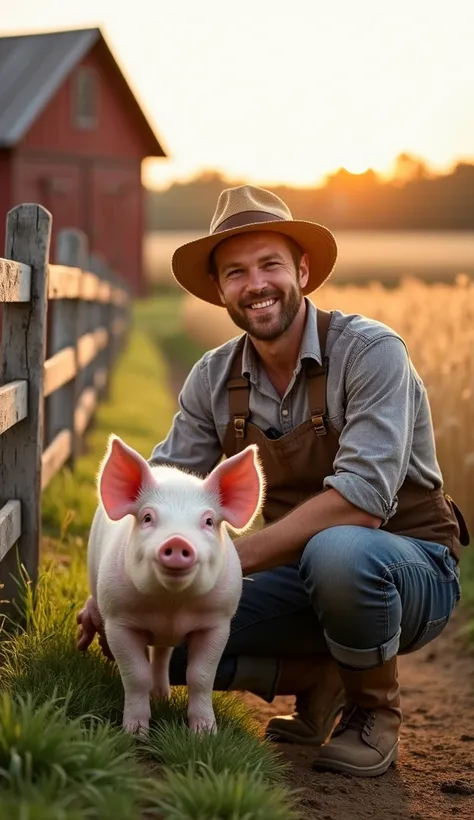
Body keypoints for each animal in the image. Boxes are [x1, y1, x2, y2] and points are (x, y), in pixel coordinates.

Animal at [80, 436, 264, 736]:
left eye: (209, 521)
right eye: (147, 518)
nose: (177, 541)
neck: (172, 607)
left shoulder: (217, 622)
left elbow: (200, 676)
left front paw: (204, 734)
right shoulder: (118, 620)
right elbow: (135, 674)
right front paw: (135, 734)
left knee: (163, 654)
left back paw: (161, 696)